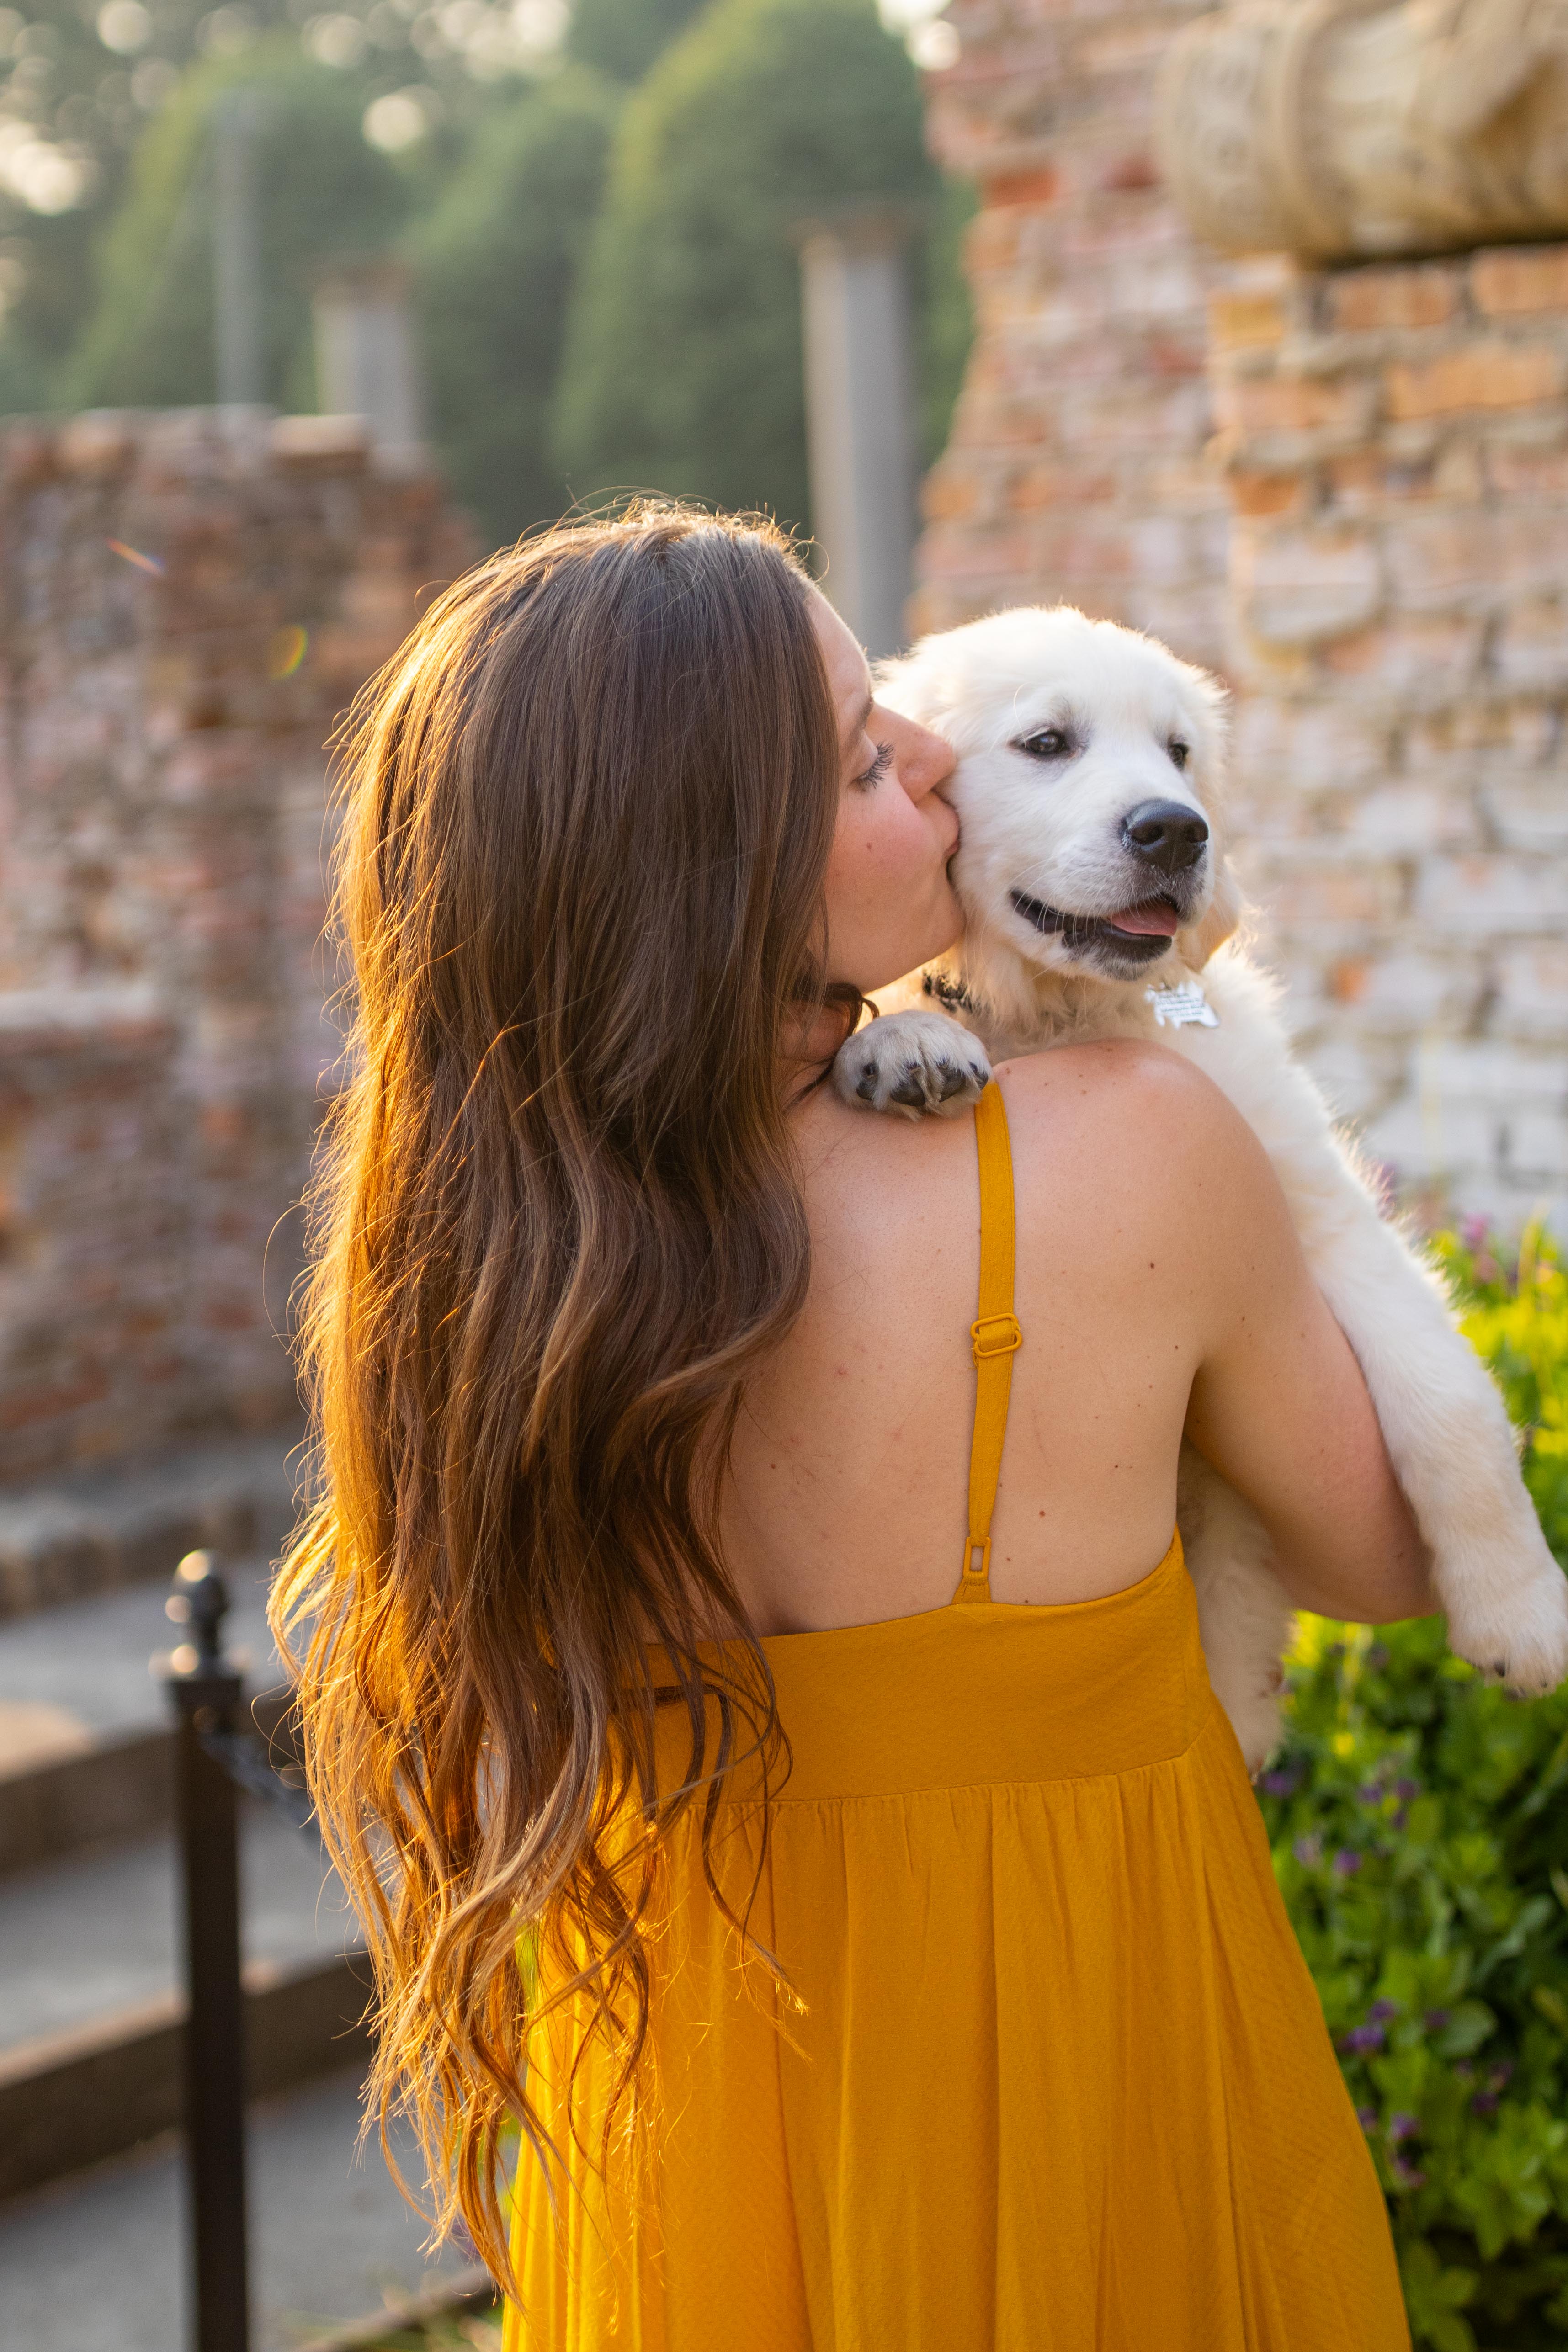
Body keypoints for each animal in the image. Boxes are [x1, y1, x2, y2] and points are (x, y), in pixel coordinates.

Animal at [841, 606, 1568, 1768]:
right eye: (1046, 743)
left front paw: (1521, 1613)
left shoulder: (1316, 1212)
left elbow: (1449, 1394)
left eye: (1178, 752)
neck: (1063, 1010)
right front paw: (904, 1041)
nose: (1176, 832)